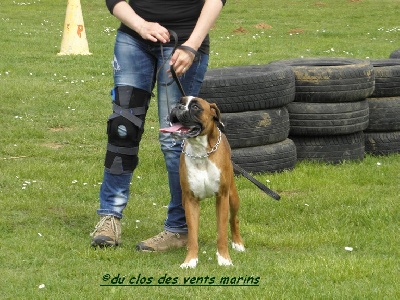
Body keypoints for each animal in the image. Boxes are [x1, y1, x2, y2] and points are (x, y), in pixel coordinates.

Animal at [159, 96, 244, 268]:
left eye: (196, 107)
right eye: (180, 102)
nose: (177, 107)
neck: (200, 151)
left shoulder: (222, 197)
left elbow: (222, 233)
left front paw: (224, 259)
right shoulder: (190, 200)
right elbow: (192, 235)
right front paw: (190, 261)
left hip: (232, 197)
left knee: (234, 219)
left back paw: (238, 243)